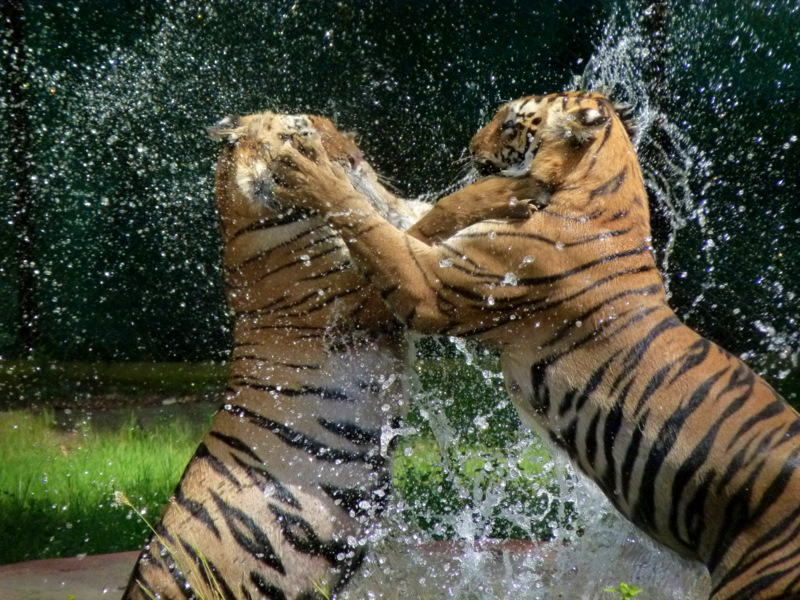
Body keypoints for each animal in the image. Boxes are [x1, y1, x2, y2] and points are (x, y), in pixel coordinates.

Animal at [121, 110, 533, 600]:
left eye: (340, 131)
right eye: (304, 132)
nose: (357, 158)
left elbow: (425, 212)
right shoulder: (372, 303)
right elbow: (426, 220)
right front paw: (510, 192)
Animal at [270, 91, 800, 600]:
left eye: (510, 123)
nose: (469, 146)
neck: (596, 183)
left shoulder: (430, 289)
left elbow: (368, 220)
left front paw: (305, 169)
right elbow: (406, 208)